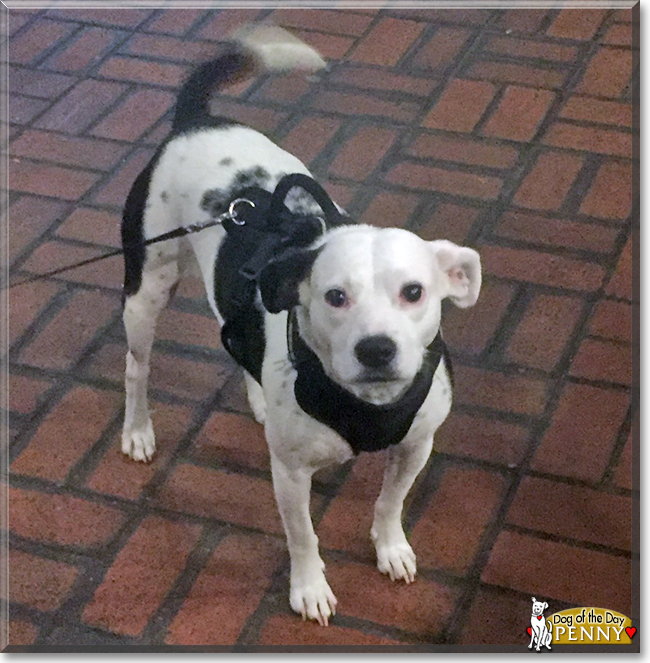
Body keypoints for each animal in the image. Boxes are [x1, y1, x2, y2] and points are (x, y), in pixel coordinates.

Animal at [119, 26, 478, 628]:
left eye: (414, 292)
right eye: (335, 296)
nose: (376, 349)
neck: (366, 405)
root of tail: (195, 122)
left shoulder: (416, 445)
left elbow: (391, 502)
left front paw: (390, 546)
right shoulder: (289, 474)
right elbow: (303, 535)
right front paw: (309, 588)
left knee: (234, 339)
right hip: (145, 293)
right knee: (136, 370)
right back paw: (137, 430)